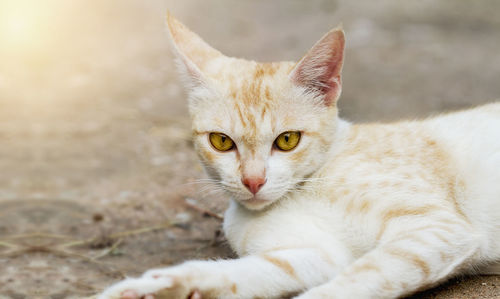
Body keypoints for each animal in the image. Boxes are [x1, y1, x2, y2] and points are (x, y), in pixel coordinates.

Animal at [97, 12, 500, 299]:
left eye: (288, 140)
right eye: (222, 142)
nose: (253, 181)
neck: (310, 185)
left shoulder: (438, 229)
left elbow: (357, 279)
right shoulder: (318, 254)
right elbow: (241, 273)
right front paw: (156, 285)